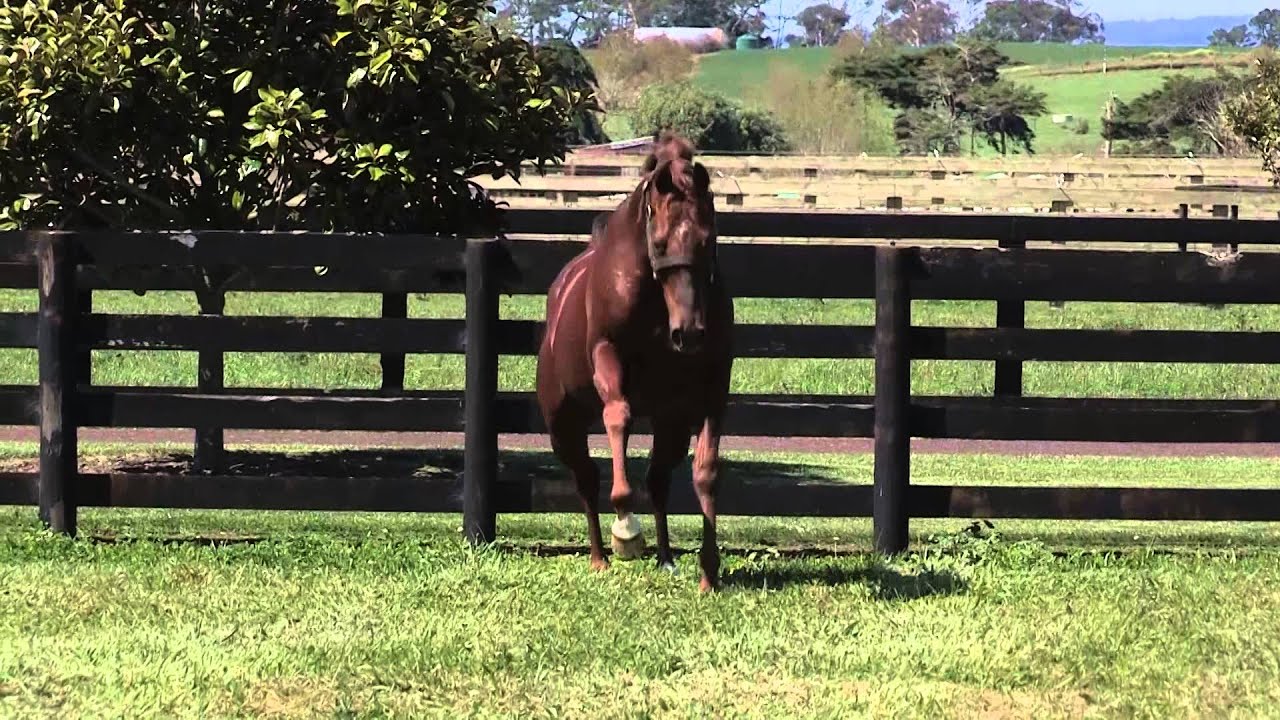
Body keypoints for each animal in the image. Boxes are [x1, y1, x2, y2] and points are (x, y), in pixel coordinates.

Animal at [535, 132, 734, 592]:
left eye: (708, 240)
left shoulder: (713, 387)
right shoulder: (608, 358)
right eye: (659, 244)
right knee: (587, 479)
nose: (689, 333)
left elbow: (706, 472)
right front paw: (626, 530)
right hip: (563, 423)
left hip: (671, 422)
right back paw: (600, 557)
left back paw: (665, 557)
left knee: (658, 481)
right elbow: (619, 418)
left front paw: (708, 572)